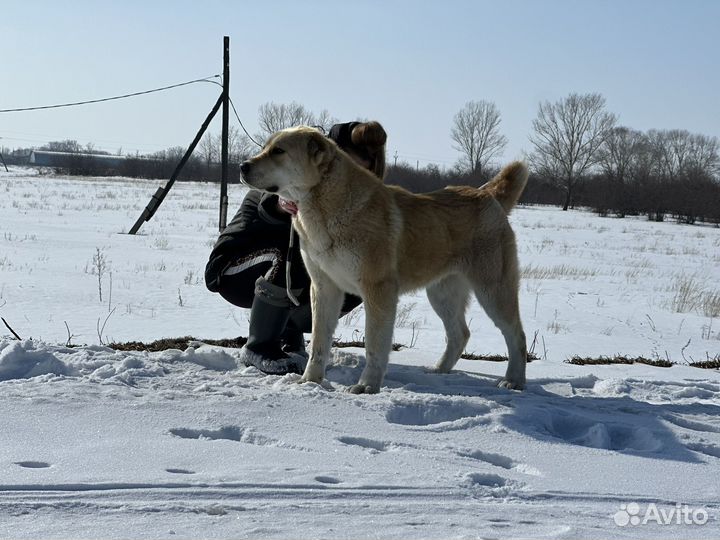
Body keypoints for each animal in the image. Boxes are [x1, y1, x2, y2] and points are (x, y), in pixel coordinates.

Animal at [242, 129, 528, 394]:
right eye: (265, 147)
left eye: (278, 151)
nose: (243, 166)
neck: (326, 205)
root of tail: (487, 195)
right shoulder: (324, 288)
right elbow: (319, 342)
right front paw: (309, 381)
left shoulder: (378, 290)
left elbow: (374, 343)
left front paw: (367, 386)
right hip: (442, 294)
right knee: (460, 334)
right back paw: (438, 370)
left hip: (493, 291)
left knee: (516, 334)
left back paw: (514, 381)